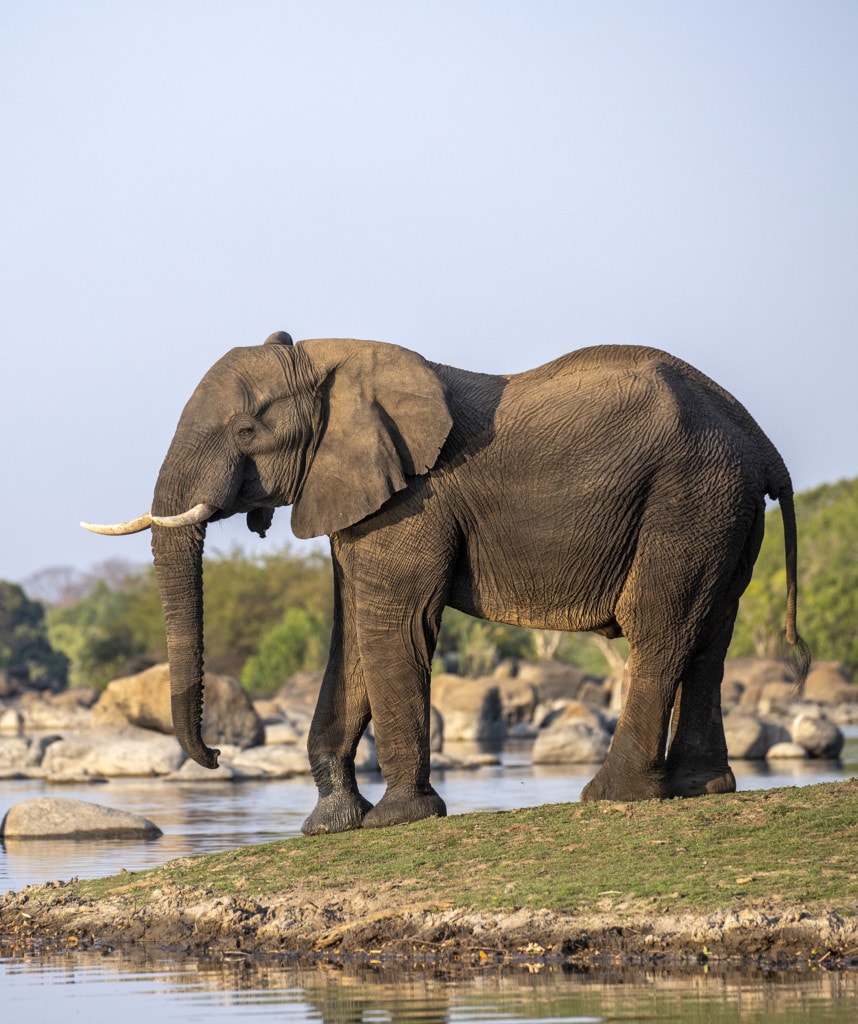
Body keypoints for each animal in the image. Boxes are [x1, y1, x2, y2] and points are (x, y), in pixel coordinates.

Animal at [83, 332, 810, 833]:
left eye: (245, 430)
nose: (213, 757)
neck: (331, 362)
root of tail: (760, 440)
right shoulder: (361, 499)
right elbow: (354, 633)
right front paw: (331, 825)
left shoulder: (412, 500)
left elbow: (394, 625)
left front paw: (396, 819)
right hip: (720, 506)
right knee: (710, 635)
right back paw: (703, 787)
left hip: (688, 495)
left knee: (659, 626)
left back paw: (615, 795)